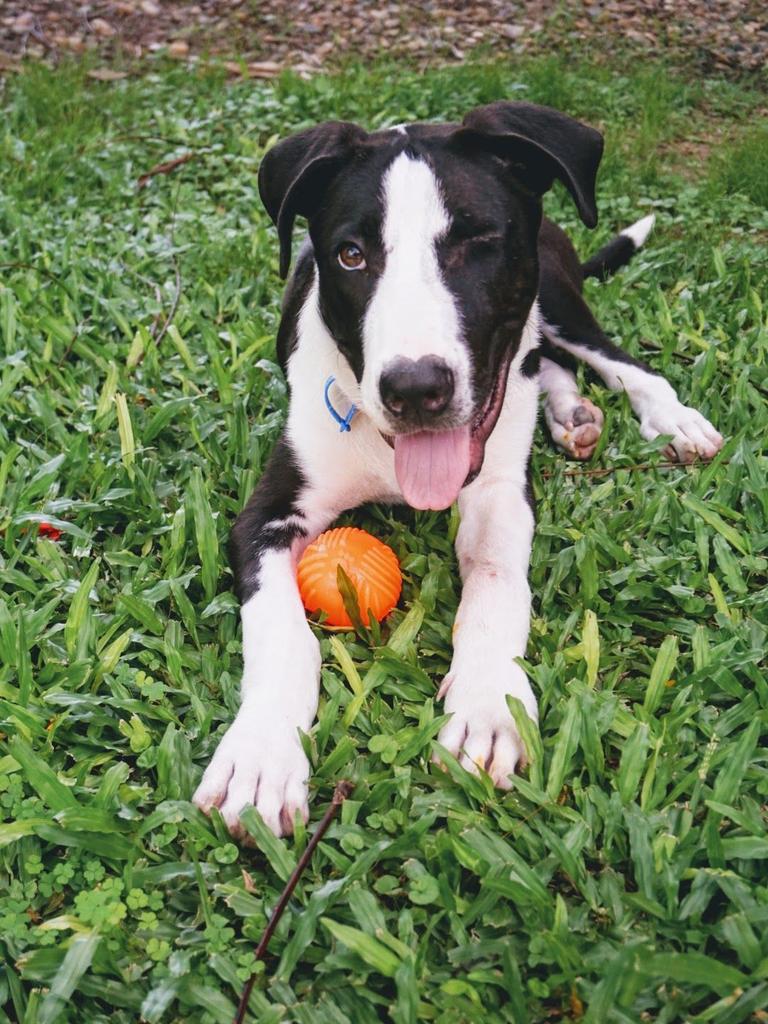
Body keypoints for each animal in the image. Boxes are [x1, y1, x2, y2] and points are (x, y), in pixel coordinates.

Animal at [191, 101, 720, 839]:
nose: (415, 389)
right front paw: (263, 753)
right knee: (547, 362)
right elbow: (282, 632)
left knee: (607, 358)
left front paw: (488, 705)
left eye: (477, 242)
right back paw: (572, 414)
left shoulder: (498, 493)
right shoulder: (265, 514)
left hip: (558, 297)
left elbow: (497, 587)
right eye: (351, 255)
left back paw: (669, 418)